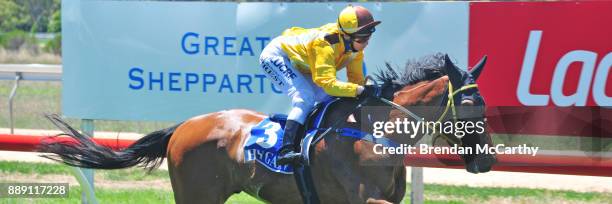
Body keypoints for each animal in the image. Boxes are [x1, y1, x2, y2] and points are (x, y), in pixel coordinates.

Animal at [39, 53, 492, 203]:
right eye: (471, 107)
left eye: (486, 106)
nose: (487, 162)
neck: (375, 132)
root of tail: (184, 126)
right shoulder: (366, 199)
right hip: (196, 194)